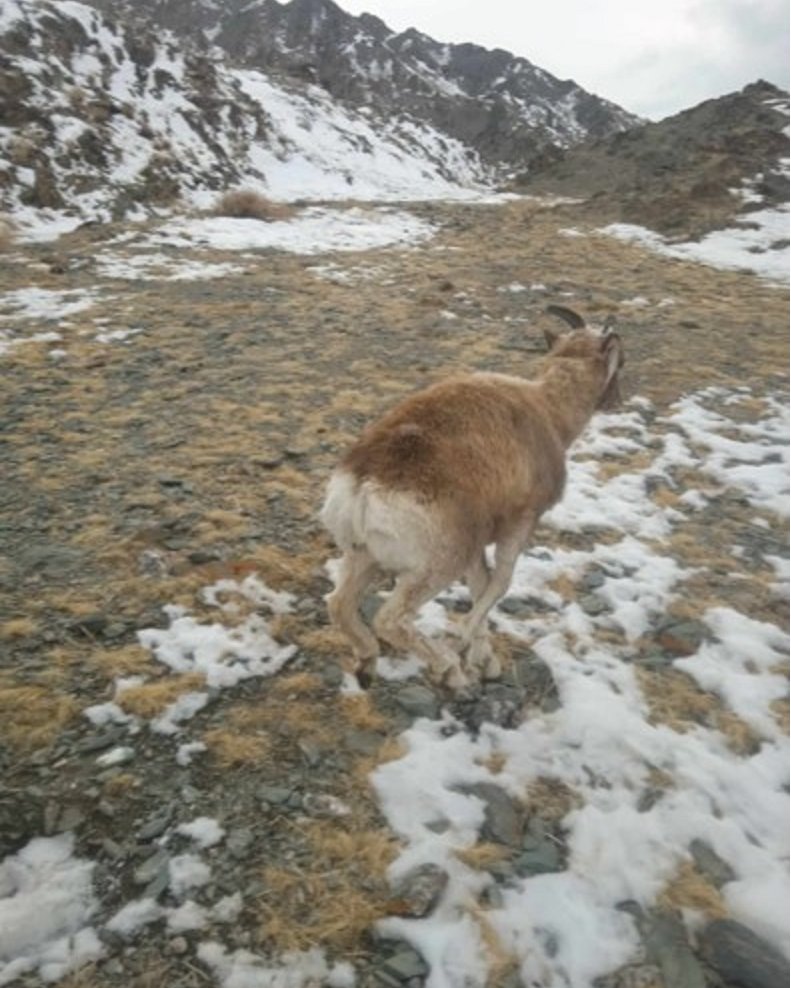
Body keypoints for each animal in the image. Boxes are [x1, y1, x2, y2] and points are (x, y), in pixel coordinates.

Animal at [322, 304, 624, 692]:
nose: (616, 400)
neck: (549, 410)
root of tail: (363, 484)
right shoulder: (518, 526)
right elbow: (499, 585)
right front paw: (468, 650)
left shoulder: (477, 550)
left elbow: (481, 586)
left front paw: (487, 663)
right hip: (436, 567)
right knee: (390, 619)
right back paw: (450, 670)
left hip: (364, 558)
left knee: (339, 605)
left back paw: (367, 666)